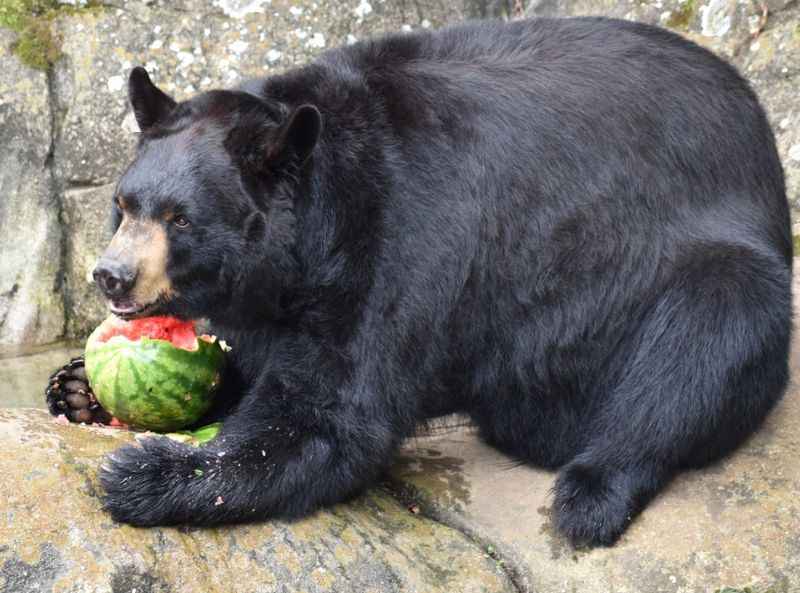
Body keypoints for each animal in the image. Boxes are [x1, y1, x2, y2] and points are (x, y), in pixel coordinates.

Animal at [47, 17, 792, 544]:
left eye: (181, 217)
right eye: (123, 204)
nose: (111, 276)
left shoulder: (396, 243)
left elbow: (332, 414)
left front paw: (146, 473)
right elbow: (259, 362)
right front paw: (78, 390)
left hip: (700, 260)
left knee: (698, 348)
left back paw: (589, 492)